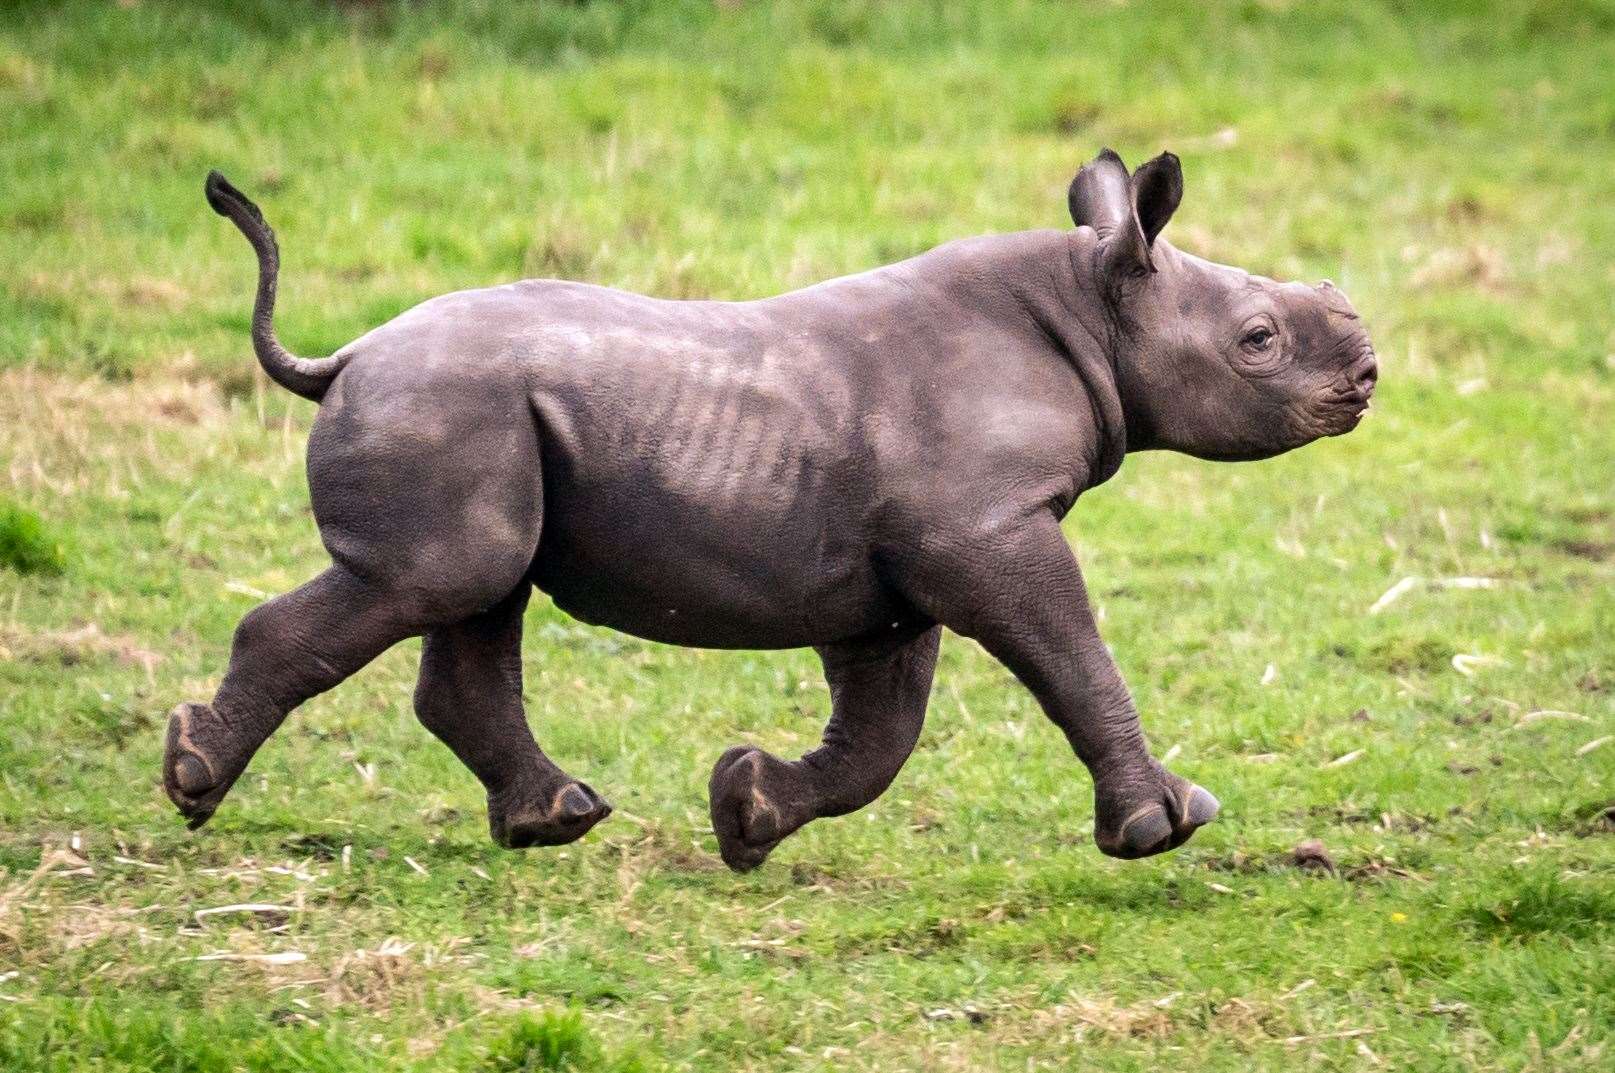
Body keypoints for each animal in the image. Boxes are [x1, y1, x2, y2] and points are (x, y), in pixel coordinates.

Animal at [167, 148, 1375, 872]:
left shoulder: (901, 569)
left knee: (476, 594)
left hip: (471, 415)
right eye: (1258, 340)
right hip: (442, 406)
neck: (1094, 303)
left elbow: (881, 733)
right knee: (436, 579)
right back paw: (191, 786)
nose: (1366, 372)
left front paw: (745, 813)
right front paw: (1162, 825)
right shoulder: (982, 528)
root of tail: (343, 357)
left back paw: (557, 820)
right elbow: (1073, 656)